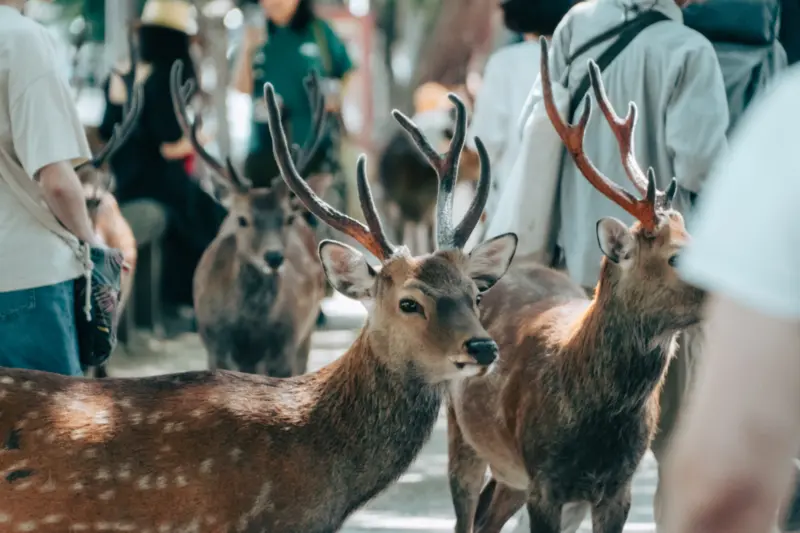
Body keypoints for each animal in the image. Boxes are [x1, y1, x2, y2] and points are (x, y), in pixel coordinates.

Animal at [173, 62, 332, 376]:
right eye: (242, 220)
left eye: (287, 219)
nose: (274, 257)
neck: (249, 334)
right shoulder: (214, 348)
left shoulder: (286, 349)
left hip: (306, 335)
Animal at [450, 37, 708, 532]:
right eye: (675, 256)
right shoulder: (545, 482)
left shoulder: (618, 487)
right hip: (463, 437)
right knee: (467, 515)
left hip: (512, 476)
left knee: (490, 515)